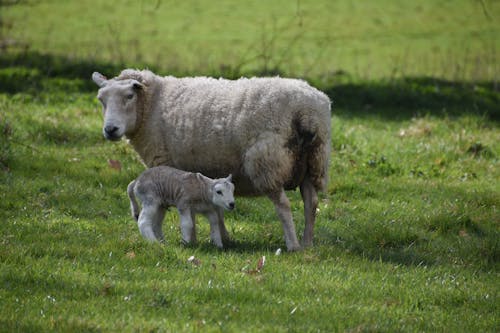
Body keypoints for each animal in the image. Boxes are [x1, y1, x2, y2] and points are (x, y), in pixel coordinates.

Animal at [93, 70, 332, 252]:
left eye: (129, 96)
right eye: (101, 100)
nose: (110, 130)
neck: (152, 104)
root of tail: (307, 112)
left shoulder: (167, 164)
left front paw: (191, 239)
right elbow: (216, 208)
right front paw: (222, 238)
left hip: (267, 162)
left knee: (283, 205)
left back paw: (293, 245)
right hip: (313, 162)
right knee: (311, 203)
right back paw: (307, 243)